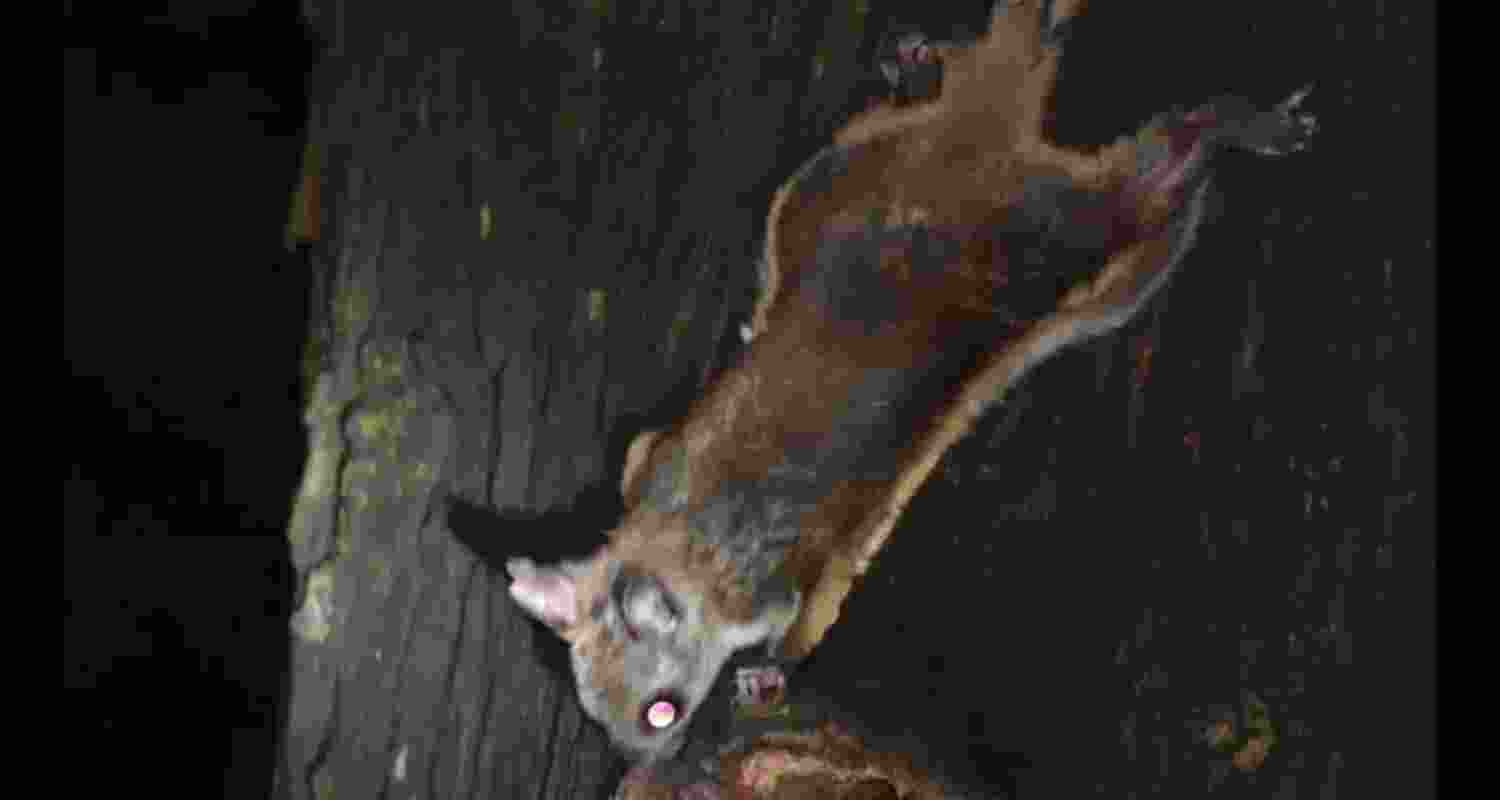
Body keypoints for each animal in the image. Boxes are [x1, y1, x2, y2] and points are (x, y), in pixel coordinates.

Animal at [504, 0, 1315, 774]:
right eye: (596, 714)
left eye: (661, 710)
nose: (649, 763)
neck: (681, 534)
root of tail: (975, 144)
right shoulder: (648, 457)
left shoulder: (783, 582)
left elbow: (806, 620)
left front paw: (768, 674)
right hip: (847, 173)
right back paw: (919, 60)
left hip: (1070, 233)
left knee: (1159, 167)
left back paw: (1242, 125)